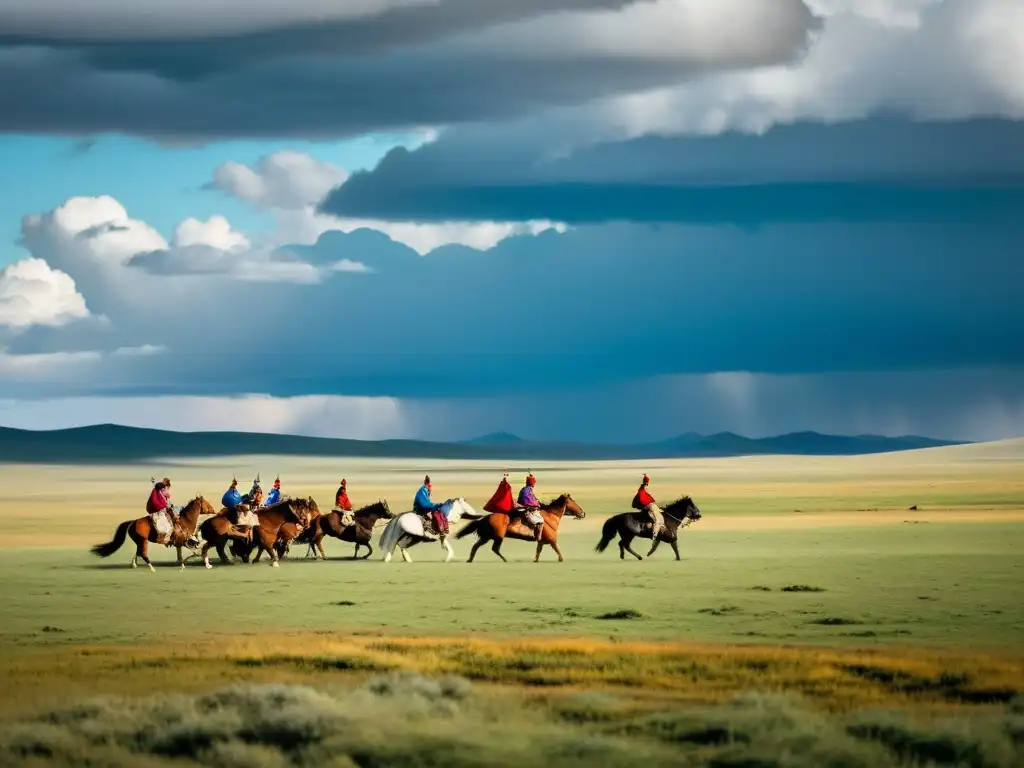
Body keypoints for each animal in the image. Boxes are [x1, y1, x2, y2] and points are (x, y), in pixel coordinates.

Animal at [90, 495, 218, 573]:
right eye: (206, 503)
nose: (214, 510)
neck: (184, 521)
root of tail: (132, 522)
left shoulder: (180, 543)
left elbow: (183, 554)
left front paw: (183, 565)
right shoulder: (182, 541)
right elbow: (189, 553)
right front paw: (201, 564)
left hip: (139, 541)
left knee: (138, 552)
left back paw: (134, 564)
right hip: (143, 541)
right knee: (143, 553)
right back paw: (151, 568)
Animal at [456, 495, 585, 561]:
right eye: (573, 502)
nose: (583, 513)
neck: (551, 517)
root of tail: (485, 517)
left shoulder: (541, 542)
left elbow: (538, 553)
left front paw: (535, 561)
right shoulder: (552, 541)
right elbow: (558, 551)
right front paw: (561, 559)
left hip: (486, 537)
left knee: (476, 546)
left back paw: (470, 560)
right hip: (498, 537)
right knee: (494, 548)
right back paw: (505, 559)